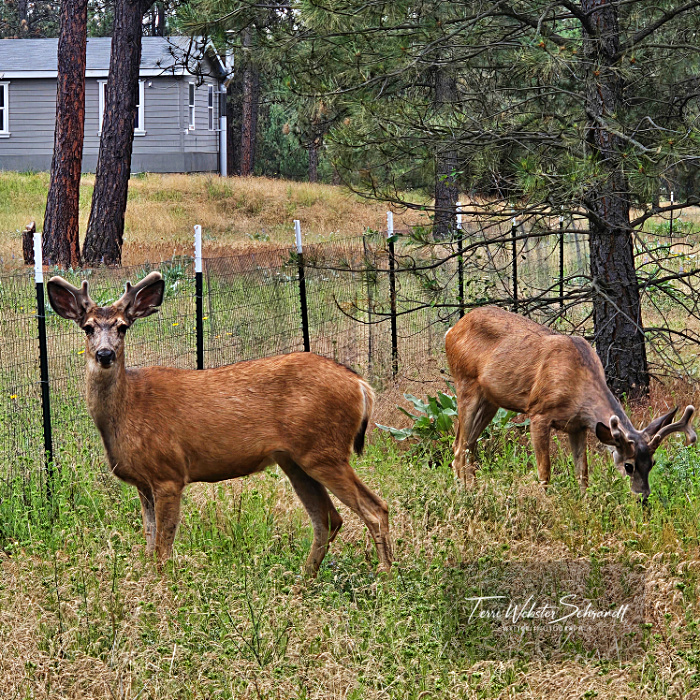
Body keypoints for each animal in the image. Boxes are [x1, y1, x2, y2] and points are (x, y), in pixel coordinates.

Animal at [47, 271, 393, 576]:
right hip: (295, 459)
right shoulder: (143, 483)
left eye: (122, 327)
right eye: (87, 327)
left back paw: (385, 579)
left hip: (324, 451)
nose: (105, 354)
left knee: (375, 509)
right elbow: (148, 543)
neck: (127, 411)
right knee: (329, 518)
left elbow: (162, 548)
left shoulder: (169, 473)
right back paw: (303, 580)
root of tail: (361, 385)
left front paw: (163, 592)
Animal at [445, 306, 696, 499]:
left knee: (469, 444)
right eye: (628, 465)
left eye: (652, 463)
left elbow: (582, 473)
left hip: (490, 400)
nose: (643, 497)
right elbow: (545, 471)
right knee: (459, 446)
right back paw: (464, 493)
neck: (577, 385)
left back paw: (475, 489)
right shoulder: (538, 413)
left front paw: (585, 503)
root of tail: (451, 331)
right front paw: (546, 503)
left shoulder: (577, 426)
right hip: (465, 383)